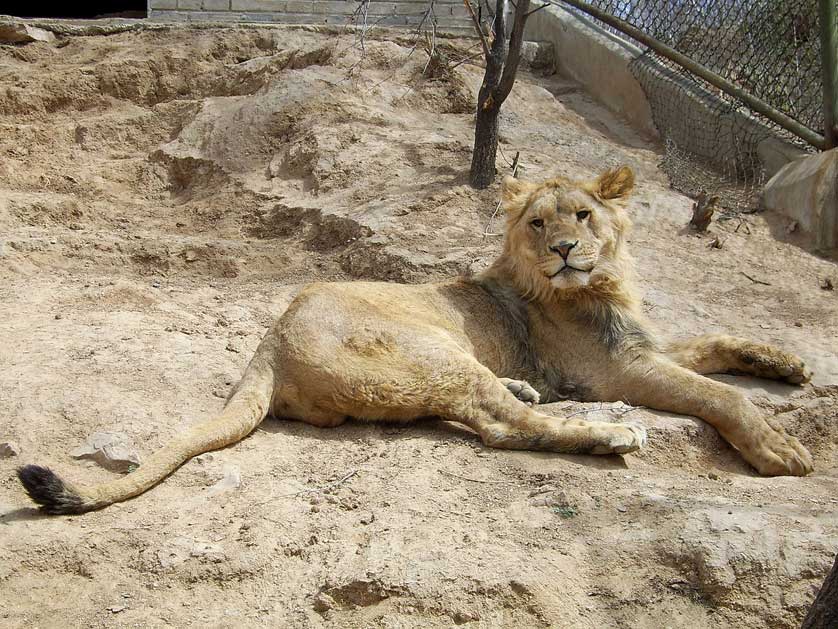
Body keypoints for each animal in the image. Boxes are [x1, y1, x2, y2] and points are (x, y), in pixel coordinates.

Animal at [17, 166, 814, 514]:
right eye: (538, 223)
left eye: (583, 215)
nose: (563, 250)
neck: (602, 285)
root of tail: (269, 339)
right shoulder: (615, 370)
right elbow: (717, 395)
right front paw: (781, 450)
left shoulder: (643, 343)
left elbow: (718, 342)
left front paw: (790, 363)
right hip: (436, 354)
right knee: (501, 423)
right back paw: (609, 436)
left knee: (496, 408)